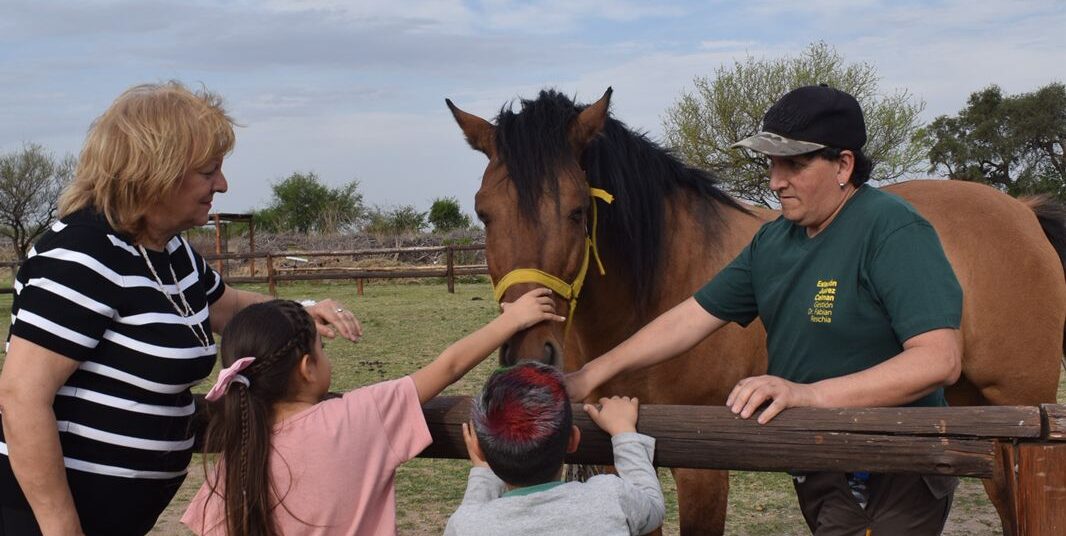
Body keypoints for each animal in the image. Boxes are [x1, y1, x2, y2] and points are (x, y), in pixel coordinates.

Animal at [446, 88, 1066, 535]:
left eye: (577, 212)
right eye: (483, 212)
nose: (528, 355)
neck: (660, 283)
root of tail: (1023, 212)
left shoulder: (702, 464)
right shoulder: (610, 454)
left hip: (1018, 419)